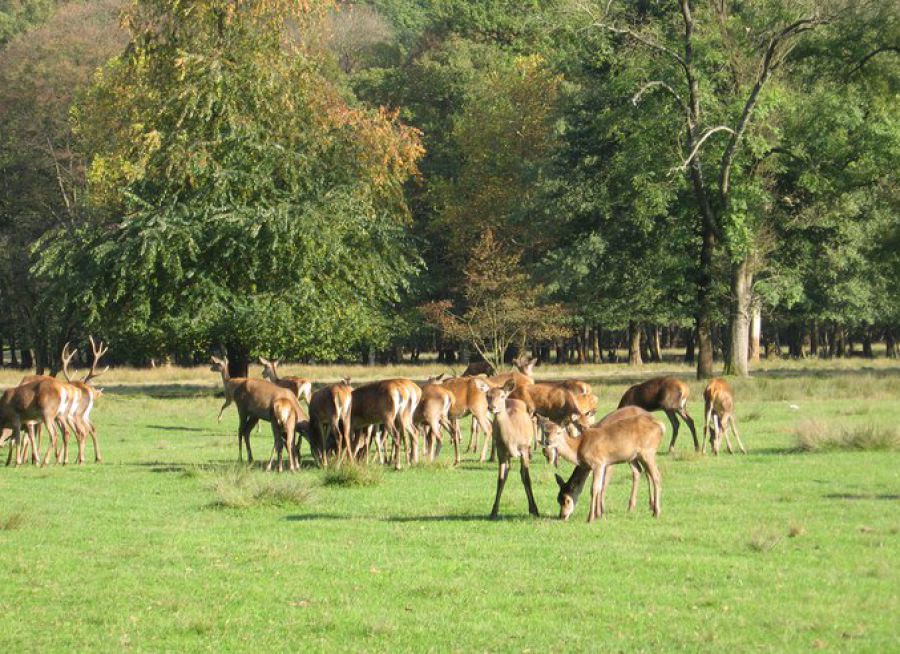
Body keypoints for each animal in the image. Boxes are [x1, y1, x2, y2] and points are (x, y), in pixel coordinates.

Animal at [482, 382, 536, 520]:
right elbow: (500, 479)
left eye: (502, 396)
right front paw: (493, 511)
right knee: (508, 471)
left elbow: (527, 478)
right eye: (487, 395)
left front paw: (535, 510)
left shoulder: (523, 449)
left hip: (527, 446)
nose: (492, 407)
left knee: (522, 473)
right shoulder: (501, 452)